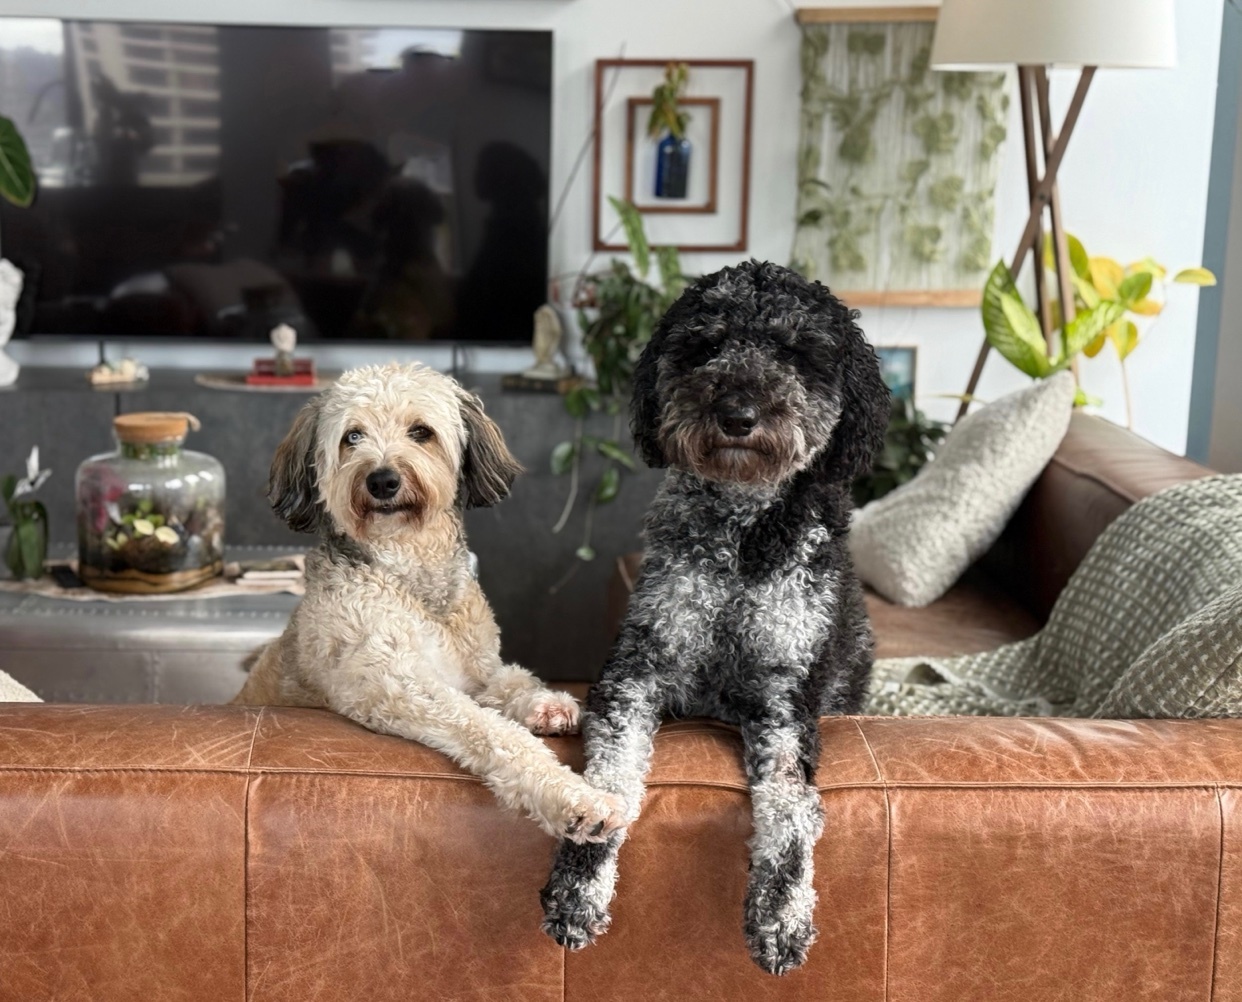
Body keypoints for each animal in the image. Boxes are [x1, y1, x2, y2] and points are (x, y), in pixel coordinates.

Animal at [233, 363, 624, 844]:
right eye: (352, 436)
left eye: (421, 432)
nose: (382, 480)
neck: (409, 571)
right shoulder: (399, 688)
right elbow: (491, 729)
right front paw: (577, 798)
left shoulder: (477, 670)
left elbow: (512, 679)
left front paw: (546, 704)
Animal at [540, 261, 889, 974]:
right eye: (706, 345)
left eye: (795, 351)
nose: (736, 414)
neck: (740, 535)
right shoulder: (636, 672)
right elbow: (610, 782)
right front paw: (578, 889)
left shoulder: (785, 697)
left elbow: (789, 806)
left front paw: (781, 916)